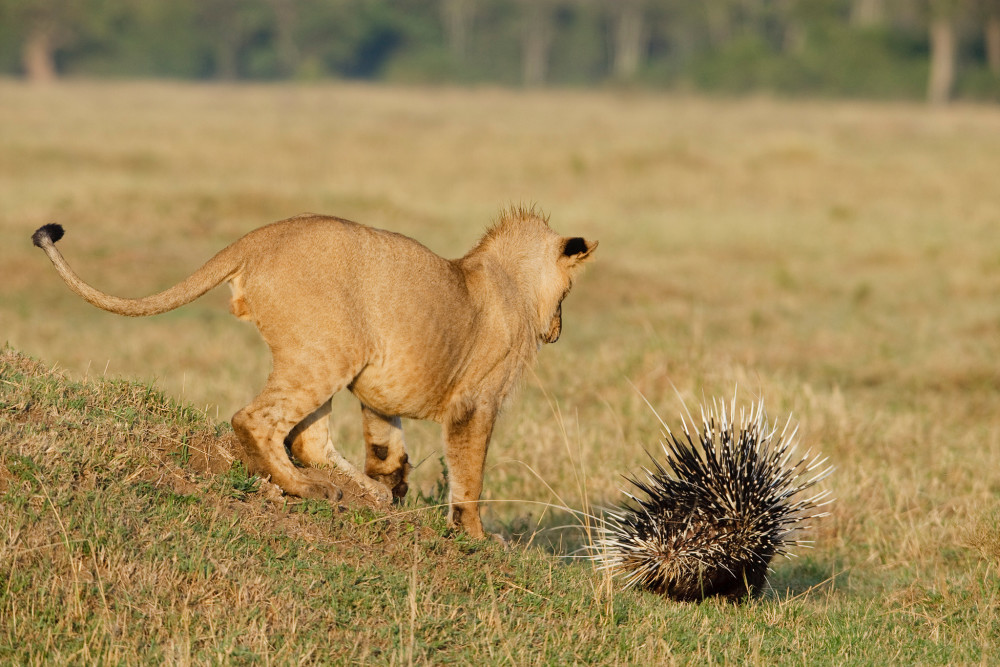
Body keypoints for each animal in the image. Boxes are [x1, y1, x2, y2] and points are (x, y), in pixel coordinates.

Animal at [31, 206, 596, 540]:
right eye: (569, 294)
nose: (559, 331)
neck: (508, 279)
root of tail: (259, 238)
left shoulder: (380, 391)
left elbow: (384, 445)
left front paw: (393, 484)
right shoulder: (475, 402)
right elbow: (470, 473)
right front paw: (478, 536)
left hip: (326, 352)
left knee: (307, 439)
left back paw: (364, 494)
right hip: (329, 351)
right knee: (256, 421)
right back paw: (310, 489)